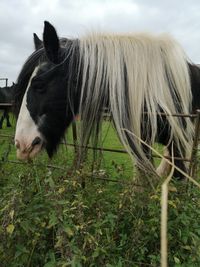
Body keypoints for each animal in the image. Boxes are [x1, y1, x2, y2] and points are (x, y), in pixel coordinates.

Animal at [14, 21, 200, 180]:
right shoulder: (142, 140)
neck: (153, 87)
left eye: (39, 85)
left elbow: (178, 176)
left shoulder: (179, 142)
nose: (21, 144)